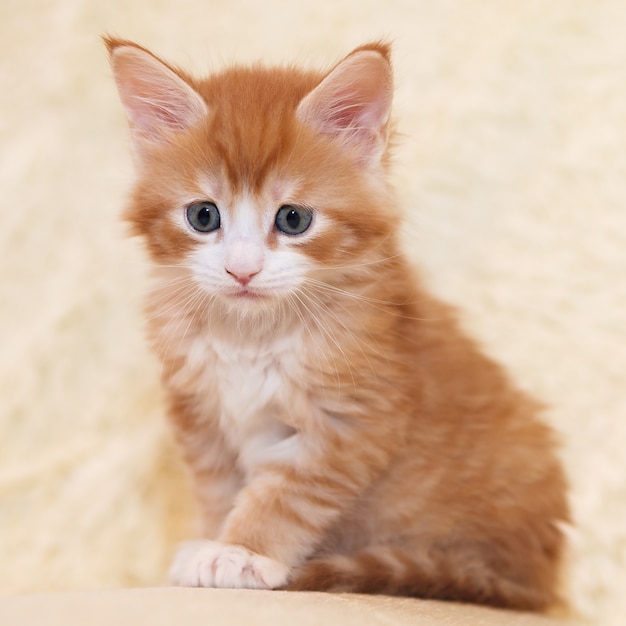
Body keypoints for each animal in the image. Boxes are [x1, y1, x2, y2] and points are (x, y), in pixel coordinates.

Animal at [106, 36, 564, 608]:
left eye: (293, 219)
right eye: (203, 216)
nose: (241, 270)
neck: (250, 336)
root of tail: (538, 579)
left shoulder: (351, 417)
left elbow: (286, 495)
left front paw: (241, 552)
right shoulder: (201, 414)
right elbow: (218, 486)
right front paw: (212, 542)